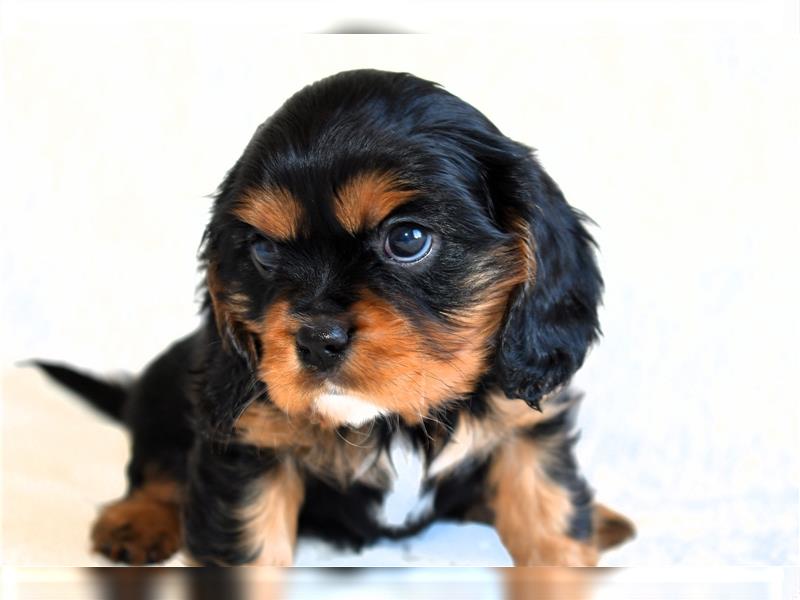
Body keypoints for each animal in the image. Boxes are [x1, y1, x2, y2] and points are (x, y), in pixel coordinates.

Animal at [37, 68, 636, 564]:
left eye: (408, 239)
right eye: (265, 252)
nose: (315, 339)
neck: (390, 418)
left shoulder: (527, 432)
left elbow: (550, 521)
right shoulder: (248, 444)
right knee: (156, 464)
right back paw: (137, 519)